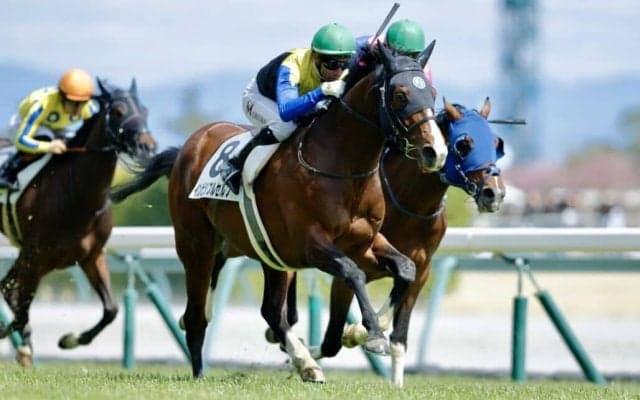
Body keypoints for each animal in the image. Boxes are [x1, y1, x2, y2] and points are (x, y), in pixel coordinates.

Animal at [0, 78, 157, 366]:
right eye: (118, 111)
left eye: (145, 110)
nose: (147, 145)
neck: (76, 195)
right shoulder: (35, 256)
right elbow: (22, 303)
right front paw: (20, 344)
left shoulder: (91, 256)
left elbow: (111, 310)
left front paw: (70, 340)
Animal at [110, 43, 448, 382]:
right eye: (400, 95)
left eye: (432, 92)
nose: (436, 151)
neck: (343, 167)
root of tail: (186, 148)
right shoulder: (311, 244)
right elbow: (354, 273)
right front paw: (374, 335)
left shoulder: (363, 242)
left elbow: (405, 269)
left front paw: (367, 329)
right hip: (197, 245)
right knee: (196, 315)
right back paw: (201, 373)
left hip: (267, 253)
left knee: (270, 309)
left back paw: (306, 363)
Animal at [269, 98, 506, 386]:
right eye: (464, 144)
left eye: (496, 143)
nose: (495, 193)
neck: (410, 204)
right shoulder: (350, 264)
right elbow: (332, 341)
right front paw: (342, 339)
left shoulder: (421, 269)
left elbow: (398, 333)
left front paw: (395, 380)